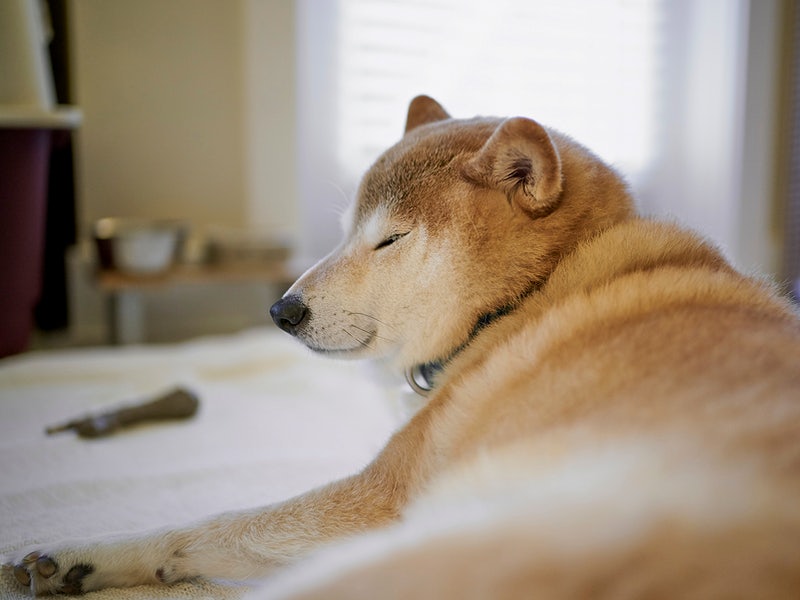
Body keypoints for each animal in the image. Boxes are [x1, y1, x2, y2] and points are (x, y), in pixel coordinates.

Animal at [6, 96, 800, 596]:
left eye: (388, 240)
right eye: (344, 231)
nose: (281, 310)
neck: (528, 298)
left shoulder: (380, 499)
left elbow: (218, 523)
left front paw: (82, 553)